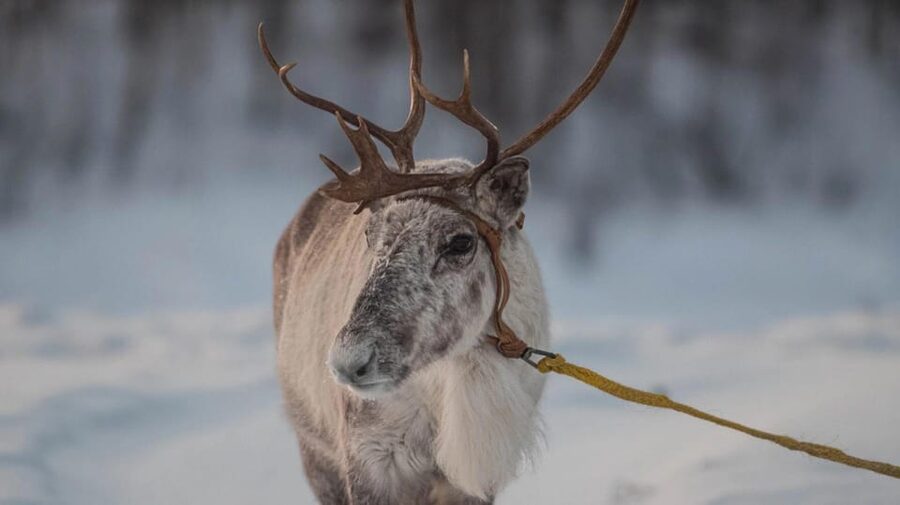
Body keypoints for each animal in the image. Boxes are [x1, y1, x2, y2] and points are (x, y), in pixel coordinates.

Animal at [260, 0, 638, 503]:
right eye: (370, 234)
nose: (347, 362)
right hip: (315, 453)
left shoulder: (473, 480)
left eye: (461, 241)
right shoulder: (368, 460)